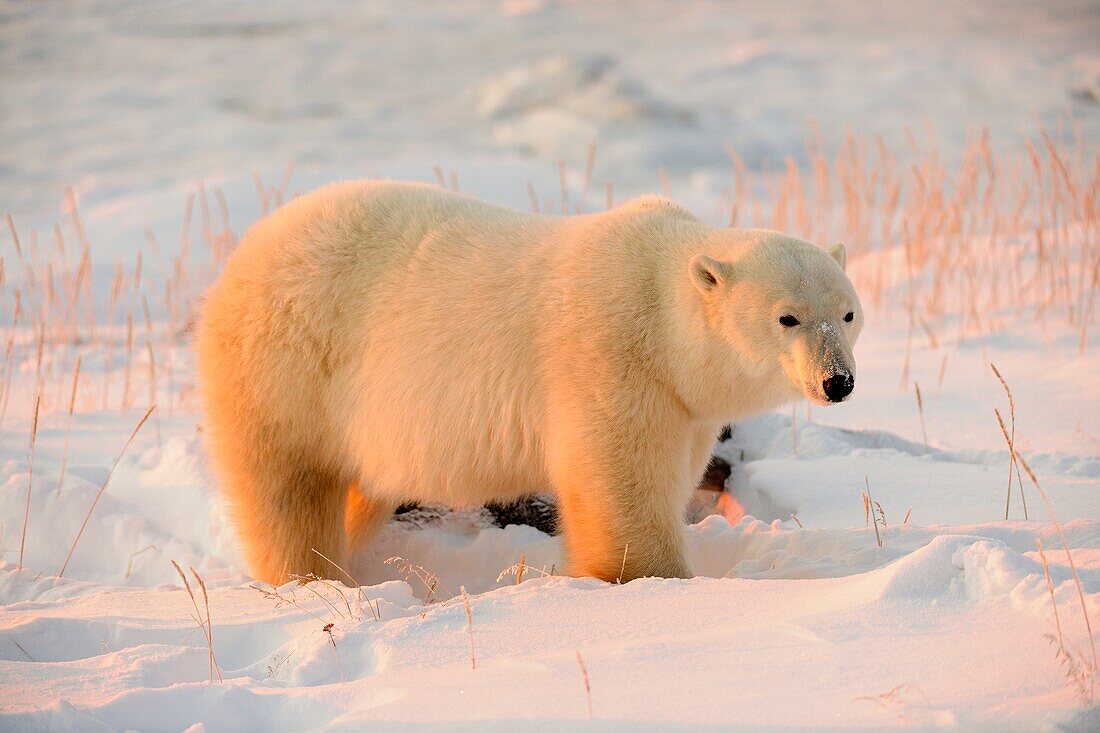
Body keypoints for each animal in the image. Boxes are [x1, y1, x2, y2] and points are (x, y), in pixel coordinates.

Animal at [202, 181, 862, 581]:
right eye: (788, 317)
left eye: (847, 314)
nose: (838, 381)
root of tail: (249, 248)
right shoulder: (611, 363)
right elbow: (620, 488)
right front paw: (652, 580)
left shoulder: (685, 405)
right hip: (288, 365)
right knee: (289, 489)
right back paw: (313, 577)